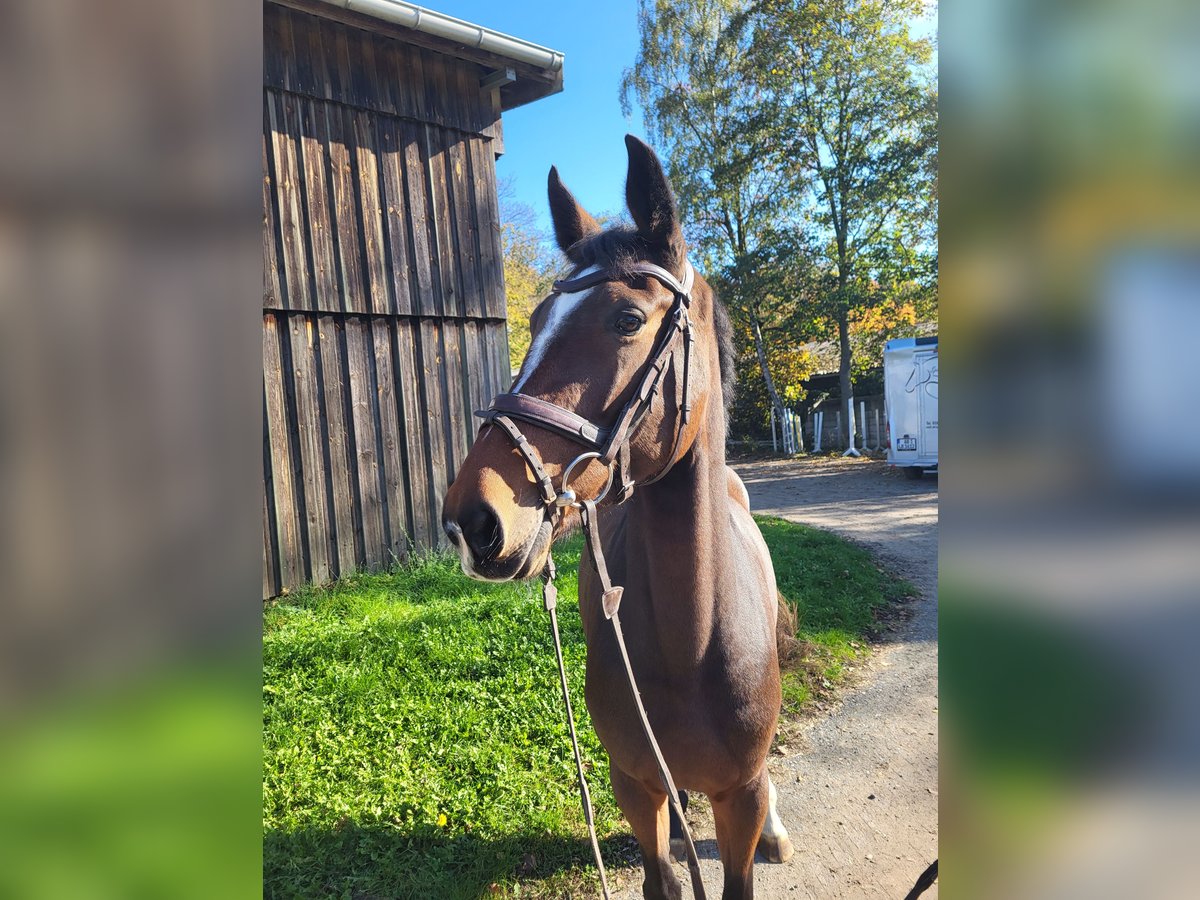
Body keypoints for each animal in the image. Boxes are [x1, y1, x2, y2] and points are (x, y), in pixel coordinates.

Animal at [446, 135, 792, 900]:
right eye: (536, 324)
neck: (692, 644)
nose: (472, 520)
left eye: (627, 319)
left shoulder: (742, 795)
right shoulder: (634, 786)